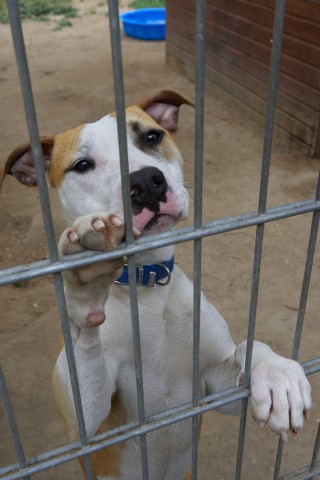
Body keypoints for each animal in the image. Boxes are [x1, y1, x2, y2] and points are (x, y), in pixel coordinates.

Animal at [1, 91, 312, 480]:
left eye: (151, 137)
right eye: (82, 165)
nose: (147, 182)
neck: (149, 290)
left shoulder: (214, 386)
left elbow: (249, 345)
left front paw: (278, 375)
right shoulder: (82, 426)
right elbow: (85, 353)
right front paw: (87, 283)